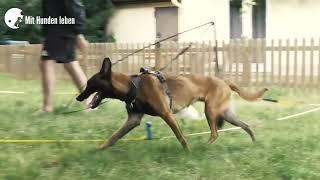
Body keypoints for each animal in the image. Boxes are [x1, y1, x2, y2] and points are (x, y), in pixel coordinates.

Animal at [77, 57, 268, 150]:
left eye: (89, 84)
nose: (78, 98)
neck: (133, 86)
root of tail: (225, 81)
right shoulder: (133, 120)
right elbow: (114, 137)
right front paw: (99, 148)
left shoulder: (167, 114)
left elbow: (181, 137)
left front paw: (188, 152)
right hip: (226, 114)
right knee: (245, 126)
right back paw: (254, 142)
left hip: (211, 111)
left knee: (215, 133)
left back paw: (204, 148)